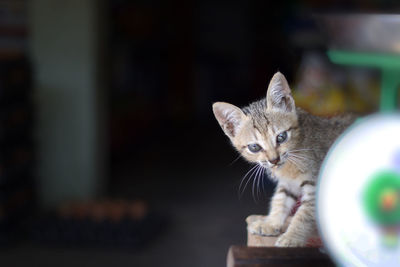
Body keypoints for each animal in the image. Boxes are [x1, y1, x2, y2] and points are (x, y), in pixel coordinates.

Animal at [211, 72, 354, 248]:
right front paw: (270, 223)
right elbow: (280, 200)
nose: (274, 160)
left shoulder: (315, 185)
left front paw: (292, 237)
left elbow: (304, 214)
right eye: (254, 147)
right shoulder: (288, 184)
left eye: (281, 137)